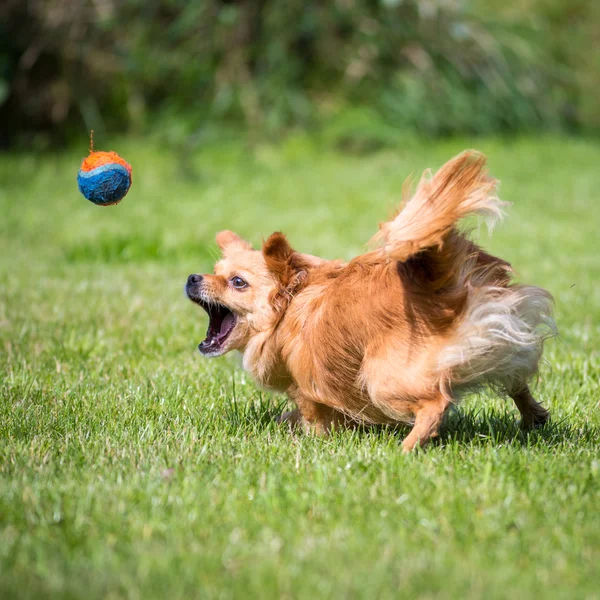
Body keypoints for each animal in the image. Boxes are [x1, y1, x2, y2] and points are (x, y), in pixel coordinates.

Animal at [185, 150, 556, 450]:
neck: (292, 304)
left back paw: (409, 447)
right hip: (503, 338)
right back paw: (534, 417)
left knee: (435, 403)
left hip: (384, 381)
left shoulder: (309, 390)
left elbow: (311, 416)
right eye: (215, 271)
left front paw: (312, 439)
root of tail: (441, 284)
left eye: (237, 282)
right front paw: (288, 423)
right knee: (517, 381)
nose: (192, 278)